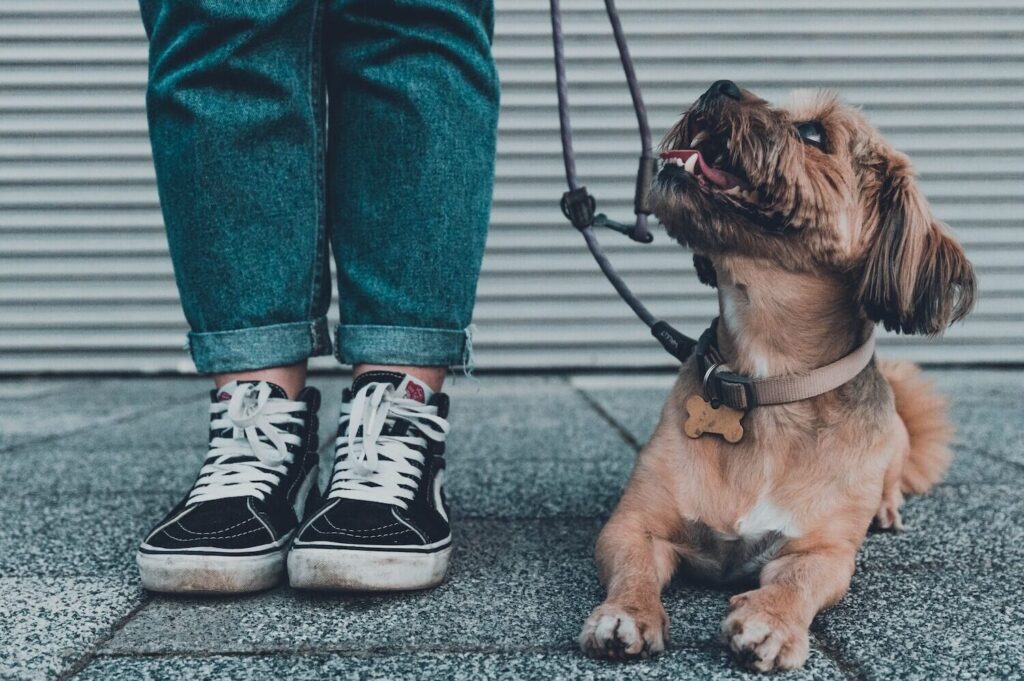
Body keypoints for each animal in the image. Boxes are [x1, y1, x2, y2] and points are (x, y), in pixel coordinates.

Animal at [577, 80, 974, 667]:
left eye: (812, 132)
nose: (718, 86)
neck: (765, 384)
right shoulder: (633, 525)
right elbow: (634, 569)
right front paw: (627, 613)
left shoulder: (823, 552)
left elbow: (799, 581)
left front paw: (771, 621)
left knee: (890, 480)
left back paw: (885, 508)